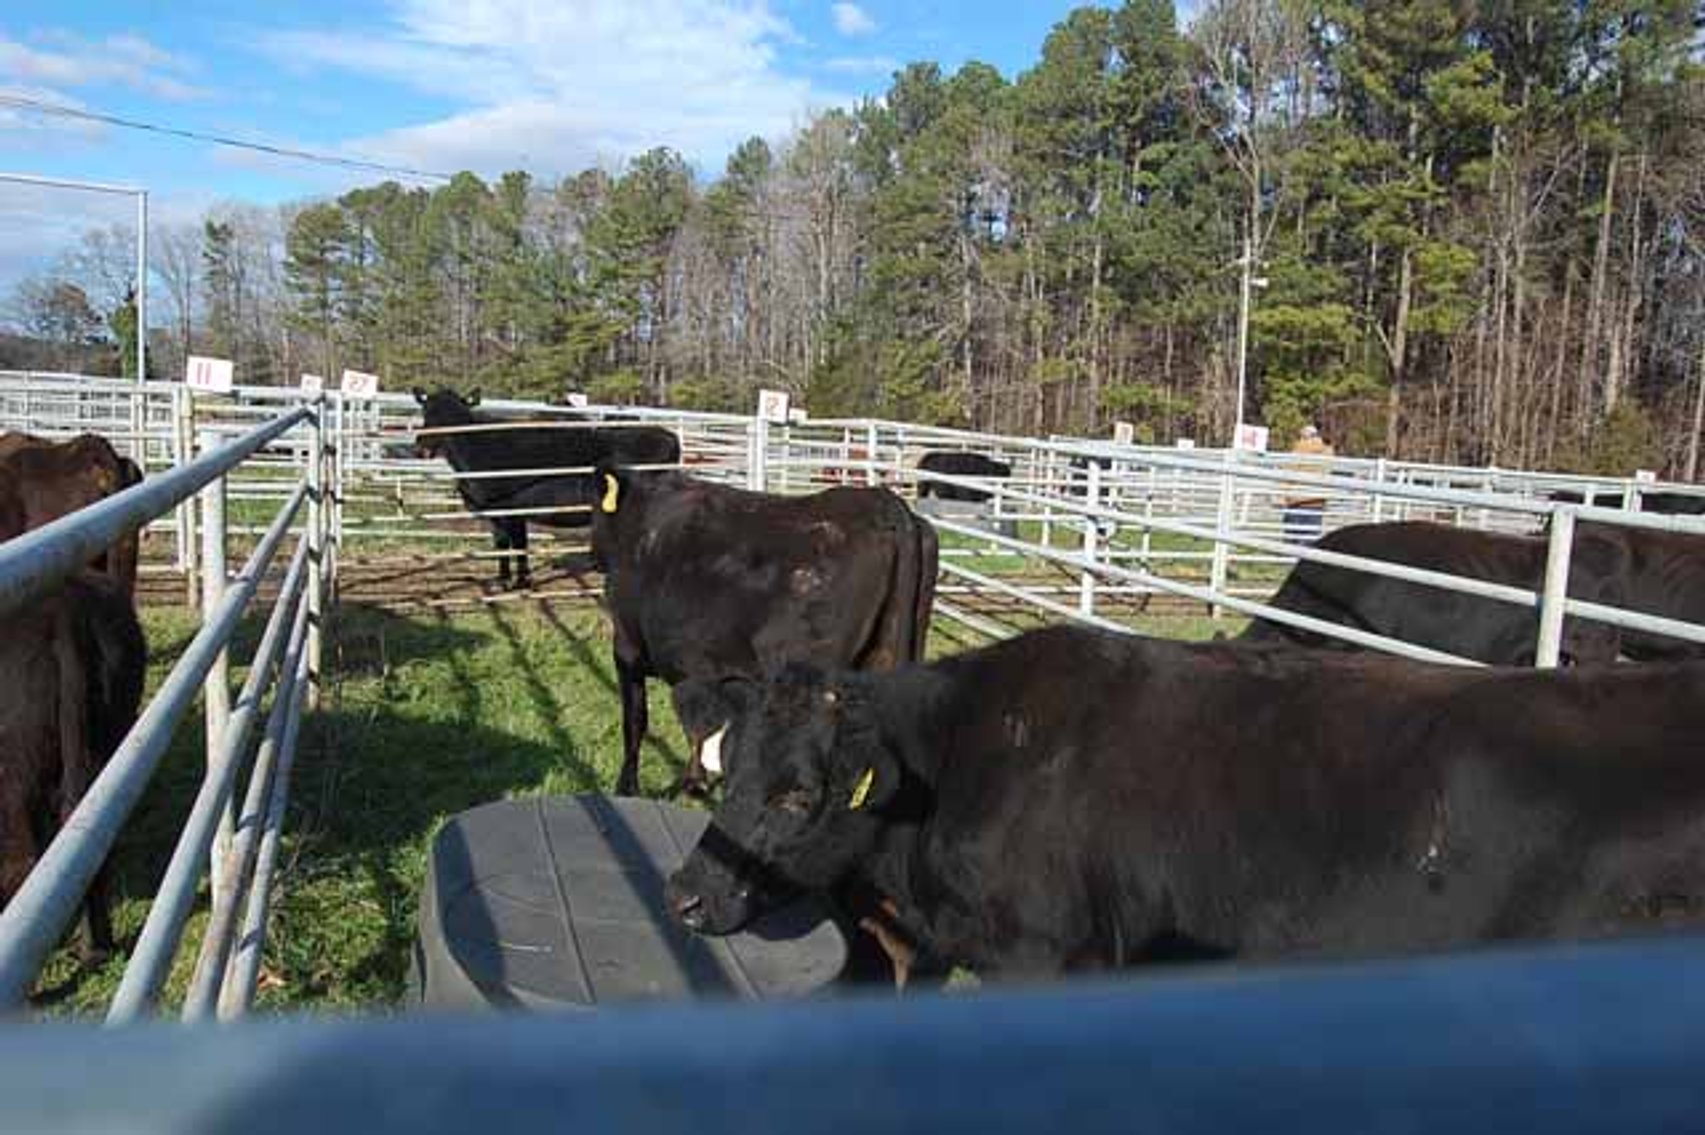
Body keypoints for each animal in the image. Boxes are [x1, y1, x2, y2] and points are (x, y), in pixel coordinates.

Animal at [412, 387, 681, 589]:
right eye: (426, 411)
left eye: (455, 417)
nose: (421, 448)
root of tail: (667, 435)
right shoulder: (498, 514)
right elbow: (503, 546)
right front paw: (504, 580)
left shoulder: (512, 511)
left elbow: (517, 546)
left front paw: (521, 581)